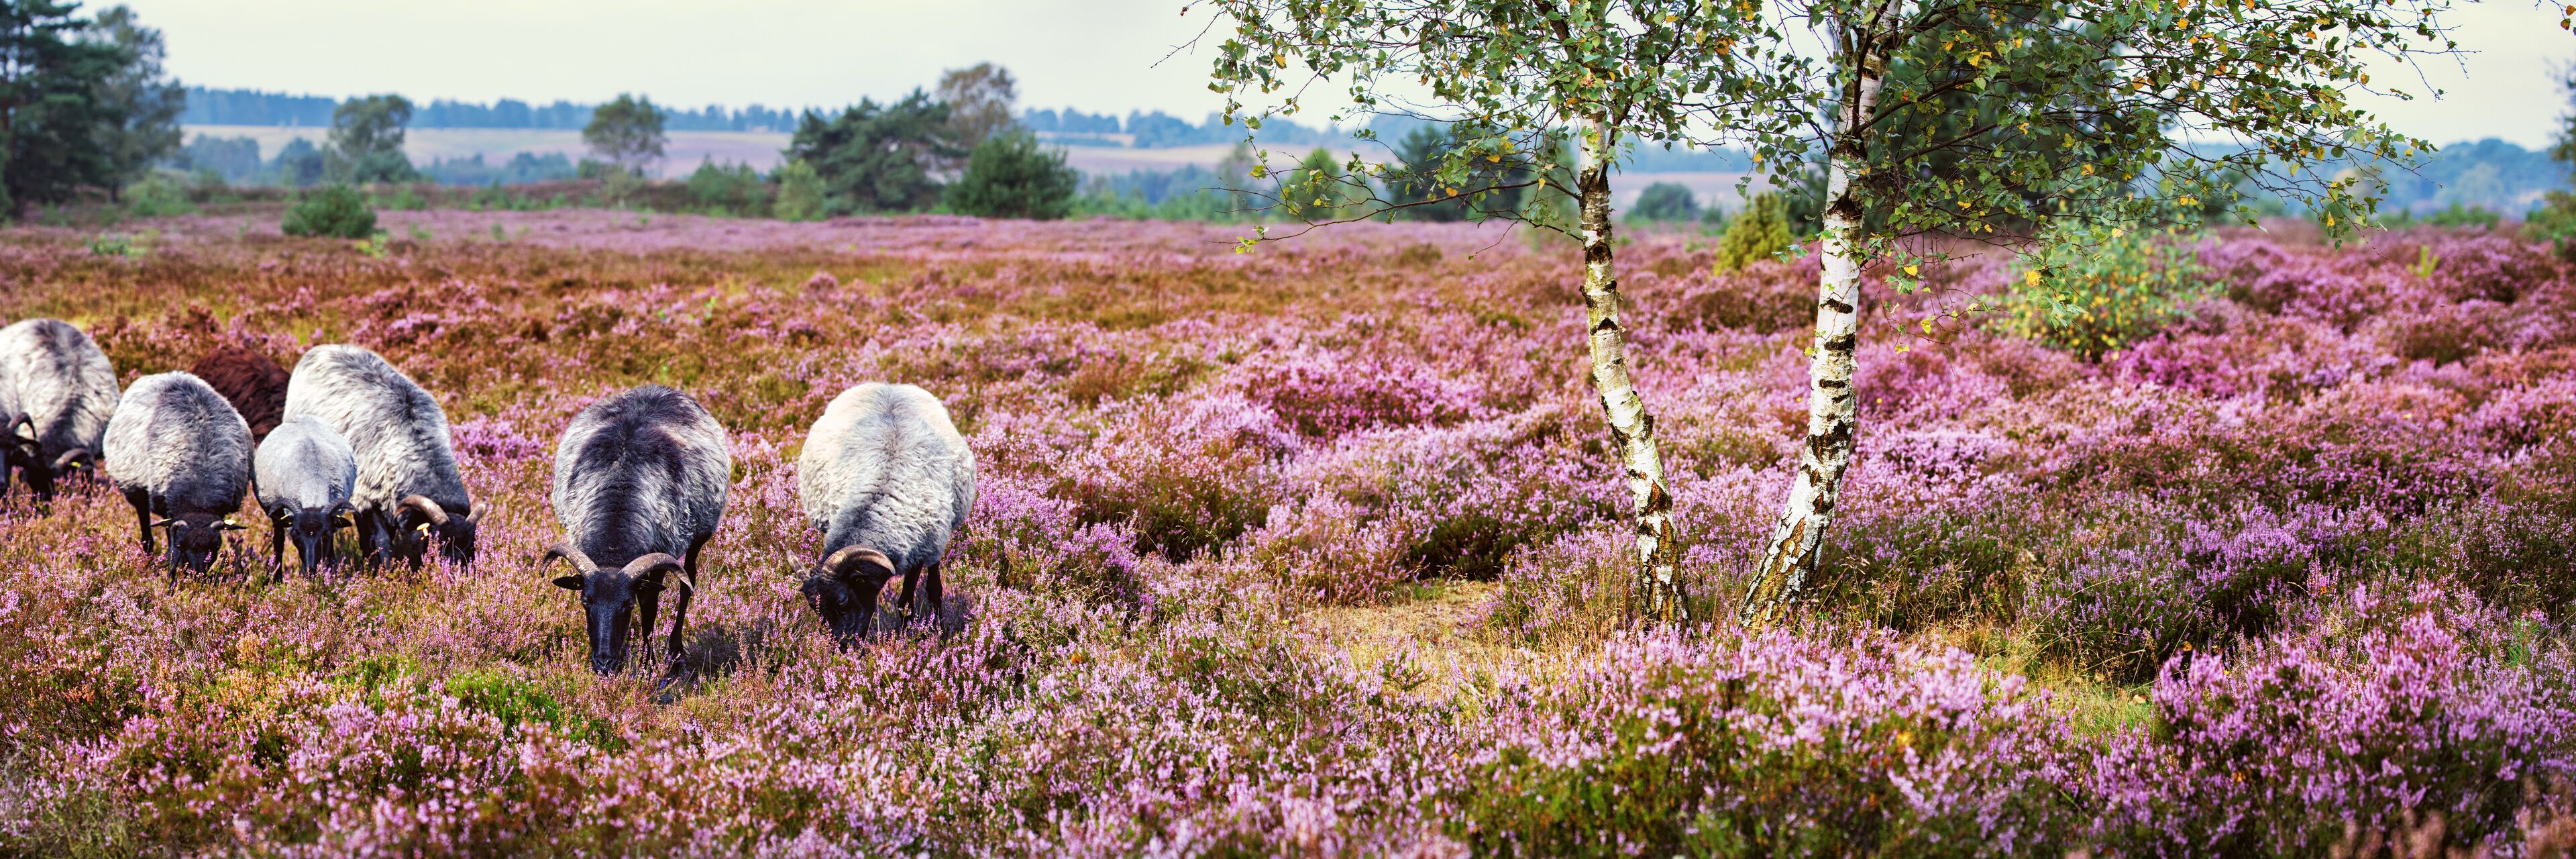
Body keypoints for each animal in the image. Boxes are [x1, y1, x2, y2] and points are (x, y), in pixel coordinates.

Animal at [103, 372, 252, 575]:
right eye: (181, 546)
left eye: (216, 547)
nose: (197, 576)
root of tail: (167, 375)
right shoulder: (168, 510)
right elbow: (171, 545)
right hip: (135, 489)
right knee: (145, 525)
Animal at [255, 415, 356, 577]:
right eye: (296, 535)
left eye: (326, 535)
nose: (311, 571)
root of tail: (302, 417)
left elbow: (330, 551)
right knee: (279, 541)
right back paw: (277, 577)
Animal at [281, 344, 478, 569]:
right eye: (438, 542)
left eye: (469, 545)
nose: (453, 574)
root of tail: (325, 347)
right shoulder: (367, 497)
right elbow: (382, 540)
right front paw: (385, 571)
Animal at [541, 385, 730, 675]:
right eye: (585, 602)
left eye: (627, 605)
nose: (604, 664)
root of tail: (659, 388)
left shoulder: (662, 552)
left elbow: (650, 606)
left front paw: (647, 666)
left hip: (700, 533)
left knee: (688, 583)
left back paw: (675, 654)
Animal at [795, 383, 975, 645]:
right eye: (815, 608)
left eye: (843, 603)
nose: (841, 648)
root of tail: (890, 386)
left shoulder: (919, 549)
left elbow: (907, 602)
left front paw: (909, 638)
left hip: (938, 539)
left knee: (934, 586)